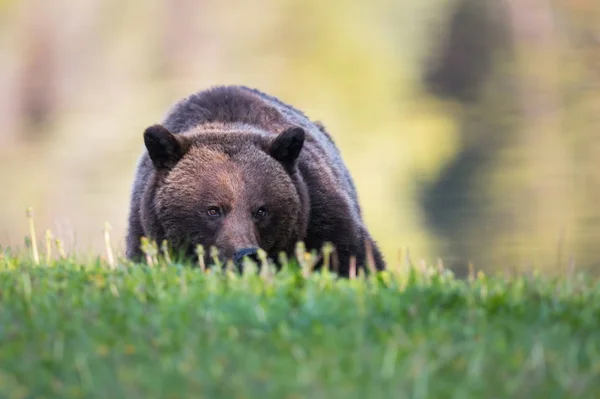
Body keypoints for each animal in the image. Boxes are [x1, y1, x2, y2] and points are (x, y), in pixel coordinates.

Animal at [125, 85, 384, 276]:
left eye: (261, 210)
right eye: (213, 209)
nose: (245, 254)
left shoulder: (321, 212)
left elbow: (354, 256)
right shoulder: (144, 231)